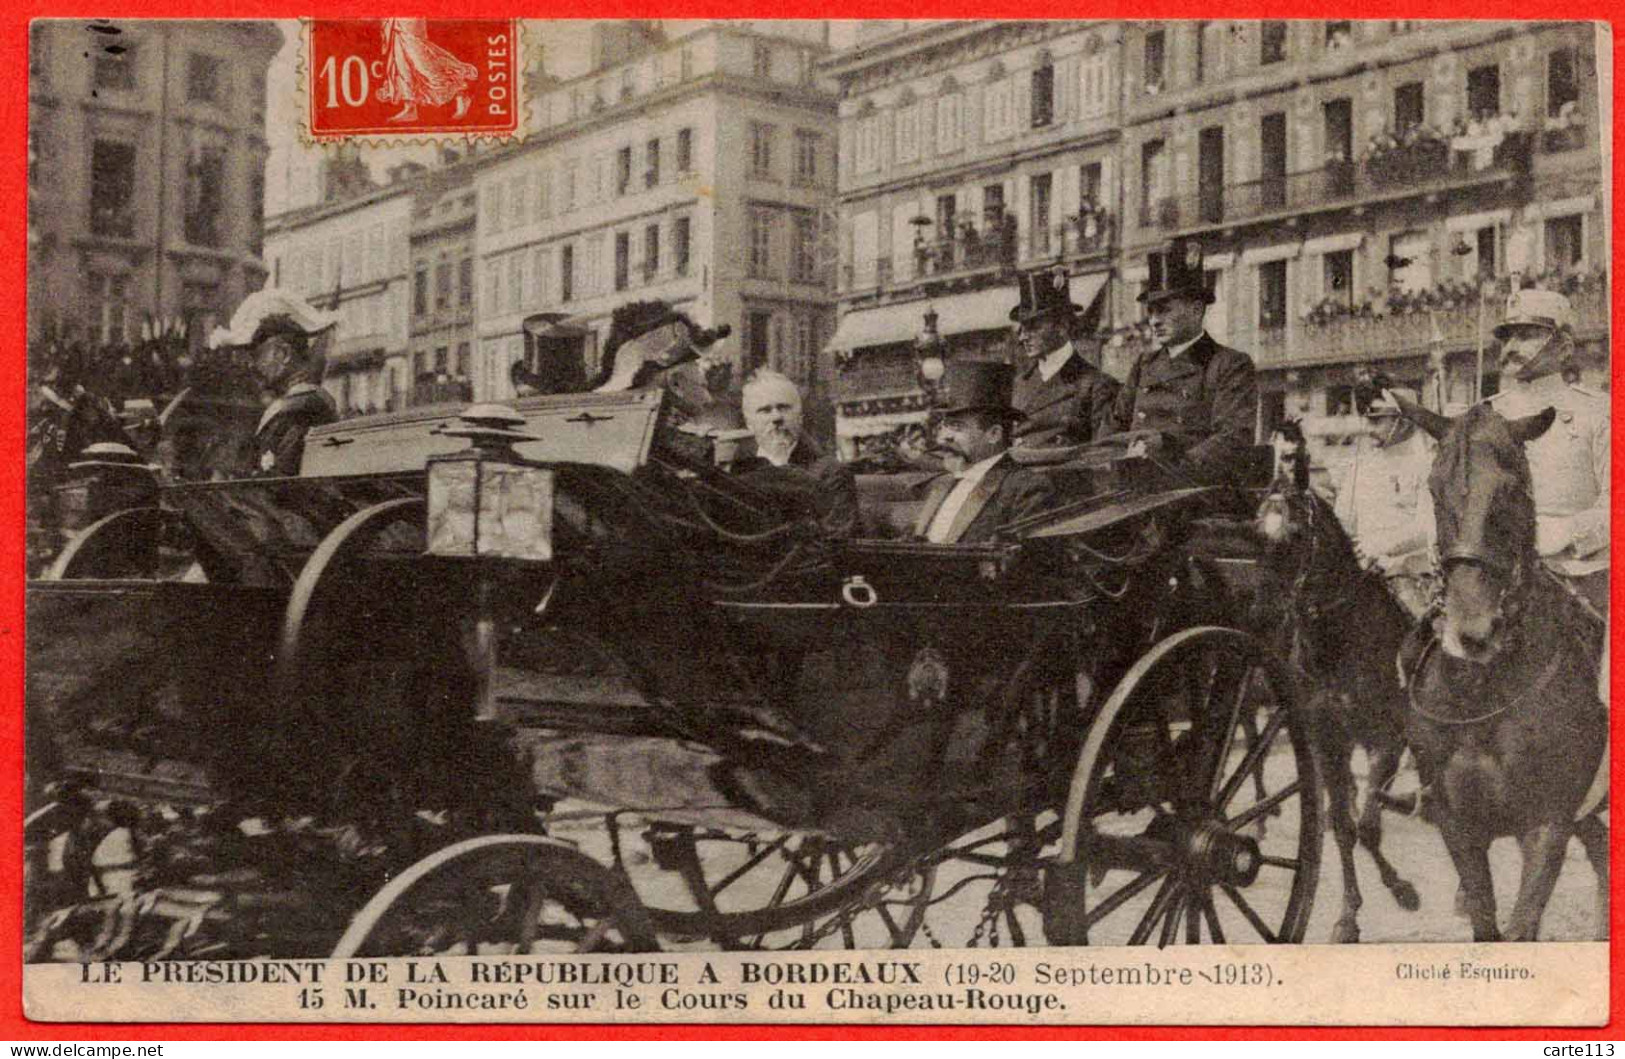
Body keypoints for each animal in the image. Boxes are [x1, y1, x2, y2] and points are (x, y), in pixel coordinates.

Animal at [1248, 422, 1417, 942]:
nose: (1261, 615)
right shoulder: (1328, 740)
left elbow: (1367, 825)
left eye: (1298, 533)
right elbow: (1345, 825)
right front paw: (1348, 914)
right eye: (1255, 532)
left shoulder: (1389, 736)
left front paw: (1402, 890)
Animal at [1397, 399, 1612, 942]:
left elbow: (1521, 928)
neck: (1483, 694)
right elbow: (1487, 926)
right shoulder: (1459, 826)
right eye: (1434, 487)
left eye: (1513, 487)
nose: (1474, 631)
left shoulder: (1547, 824)